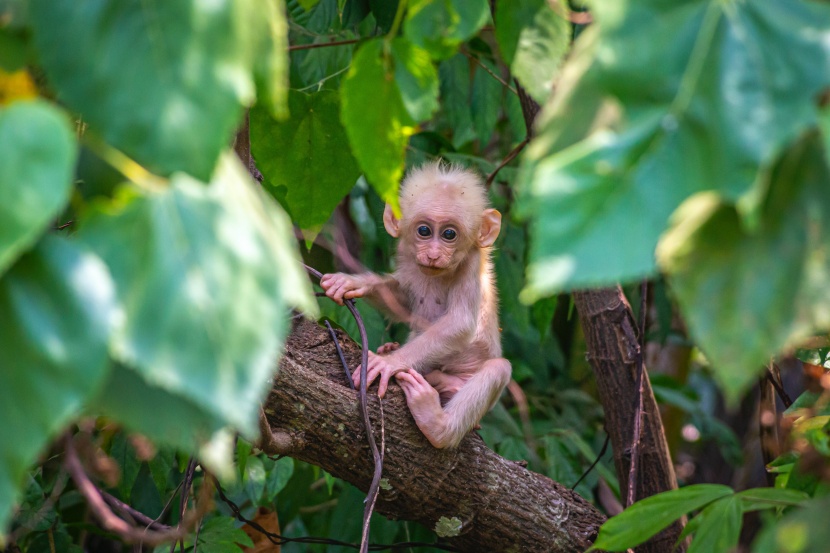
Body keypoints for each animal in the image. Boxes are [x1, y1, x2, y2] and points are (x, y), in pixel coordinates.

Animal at [320, 161, 510, 448]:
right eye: (424, 231)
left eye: (449, 234)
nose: (433, 254)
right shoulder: (407, 255)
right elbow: (404, 303)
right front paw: (354, 282)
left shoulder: (472, 263)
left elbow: (461, 322)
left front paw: (389, 363)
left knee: (499, 368)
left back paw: (437, 425)